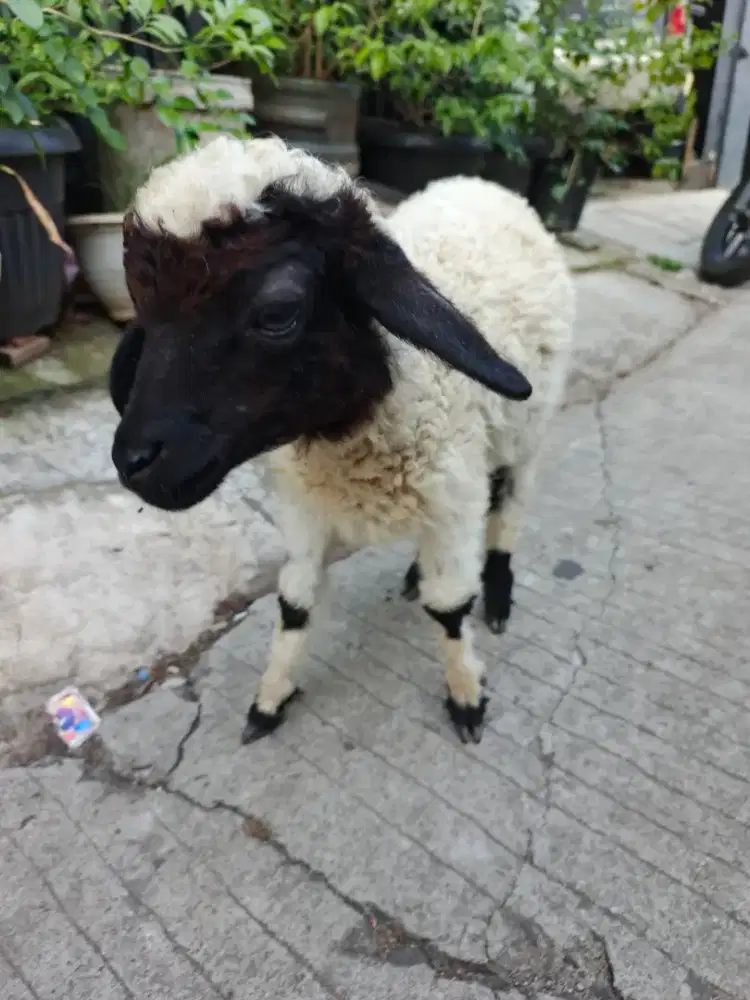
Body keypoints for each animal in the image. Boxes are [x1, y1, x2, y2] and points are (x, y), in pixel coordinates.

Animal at [108, 134, 574, 745]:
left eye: (278, 312)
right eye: (141, 304)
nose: (134, 460)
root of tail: (484, 185)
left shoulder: (455, 499)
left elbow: (450, 608)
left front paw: (467, 696)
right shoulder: (308, 509)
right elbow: (296, 603)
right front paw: (270, 700)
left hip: (526, 437)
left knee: (510, 510)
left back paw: (498, 594)